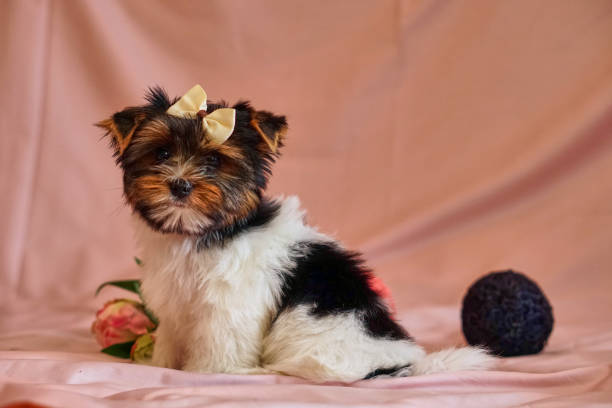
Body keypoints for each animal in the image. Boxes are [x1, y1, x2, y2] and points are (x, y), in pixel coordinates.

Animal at [99, 84, 492, 380]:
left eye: (213, 161)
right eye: (161, 153)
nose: (180, 185)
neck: (204, 233)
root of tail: (397, 361)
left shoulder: (231, 303)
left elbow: (221, 339)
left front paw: (208, 372)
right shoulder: (176, 300)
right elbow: (171, 332)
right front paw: (160, 364)